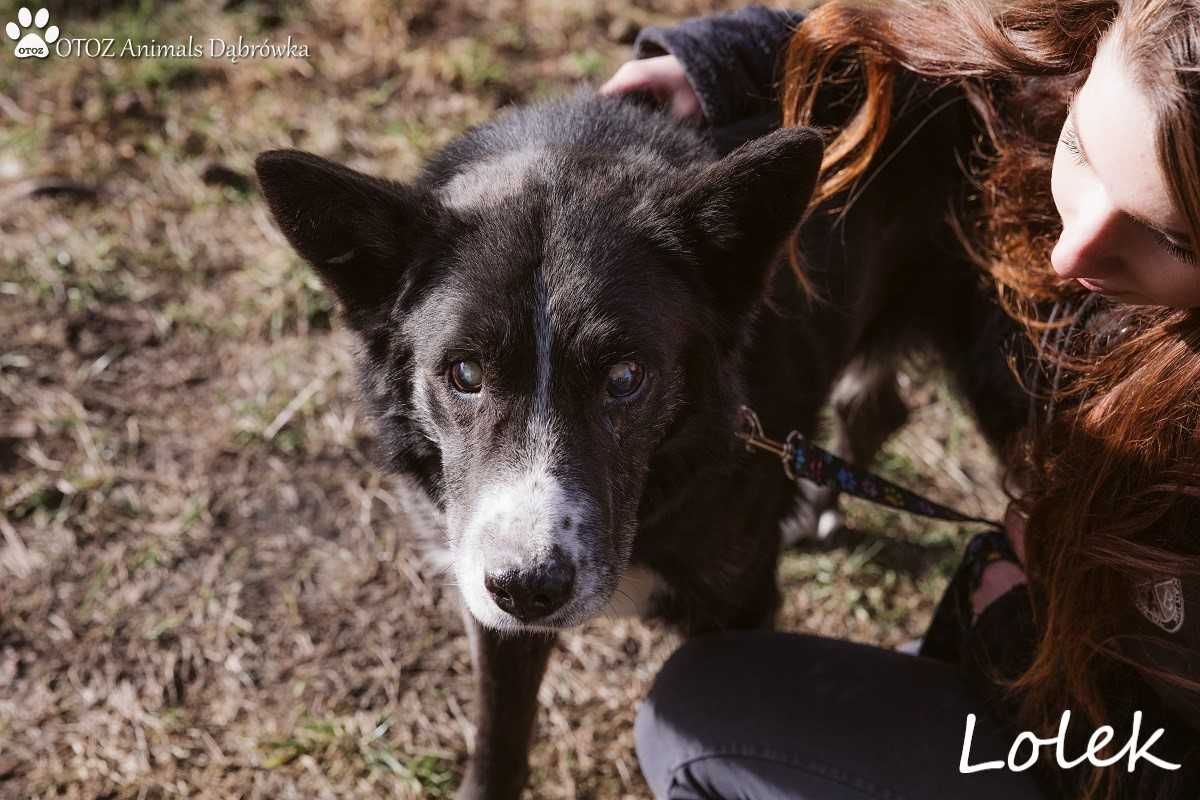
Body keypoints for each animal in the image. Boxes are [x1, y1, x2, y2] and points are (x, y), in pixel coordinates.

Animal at [255, 84, 1022, 796]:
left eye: (625, 377)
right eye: (464, 373)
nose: (530, 589)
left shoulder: (738, 614)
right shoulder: (488, 597)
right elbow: (499, 736)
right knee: (877, 405)